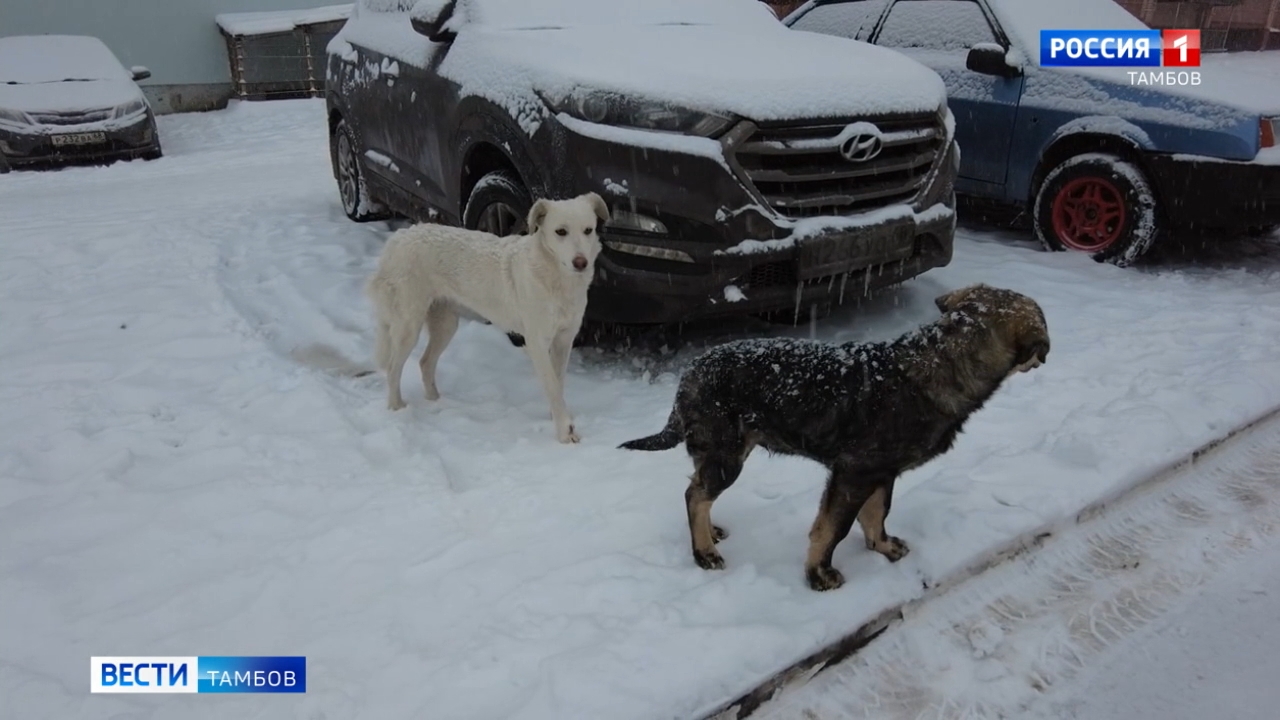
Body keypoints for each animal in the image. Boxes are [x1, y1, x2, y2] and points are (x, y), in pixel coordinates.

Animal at [366, 190, 609, 440]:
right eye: (561, 232)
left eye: (588, 230)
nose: (581, 263)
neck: (556, 278)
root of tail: (398, 238)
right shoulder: (537, 342)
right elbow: (551, 385)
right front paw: (565, 431)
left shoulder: (564, 340)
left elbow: (558, 384)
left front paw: (557, 417)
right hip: (408, 326)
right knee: (393, 368)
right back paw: (396, 408)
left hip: (446, 324)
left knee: (425, 362)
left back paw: (436, 402)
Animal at [619, 283, 1049, 591]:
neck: (939, 361)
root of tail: (691, 371)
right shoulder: (852, 475)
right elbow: (832, 529)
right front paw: (819, 575)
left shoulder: (881, 474)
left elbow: (877, 515)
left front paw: (883, 547)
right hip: (726, 454)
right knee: (695, 495)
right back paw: (703, 552)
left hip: (723, 451)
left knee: (699, 489)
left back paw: (710, 532)